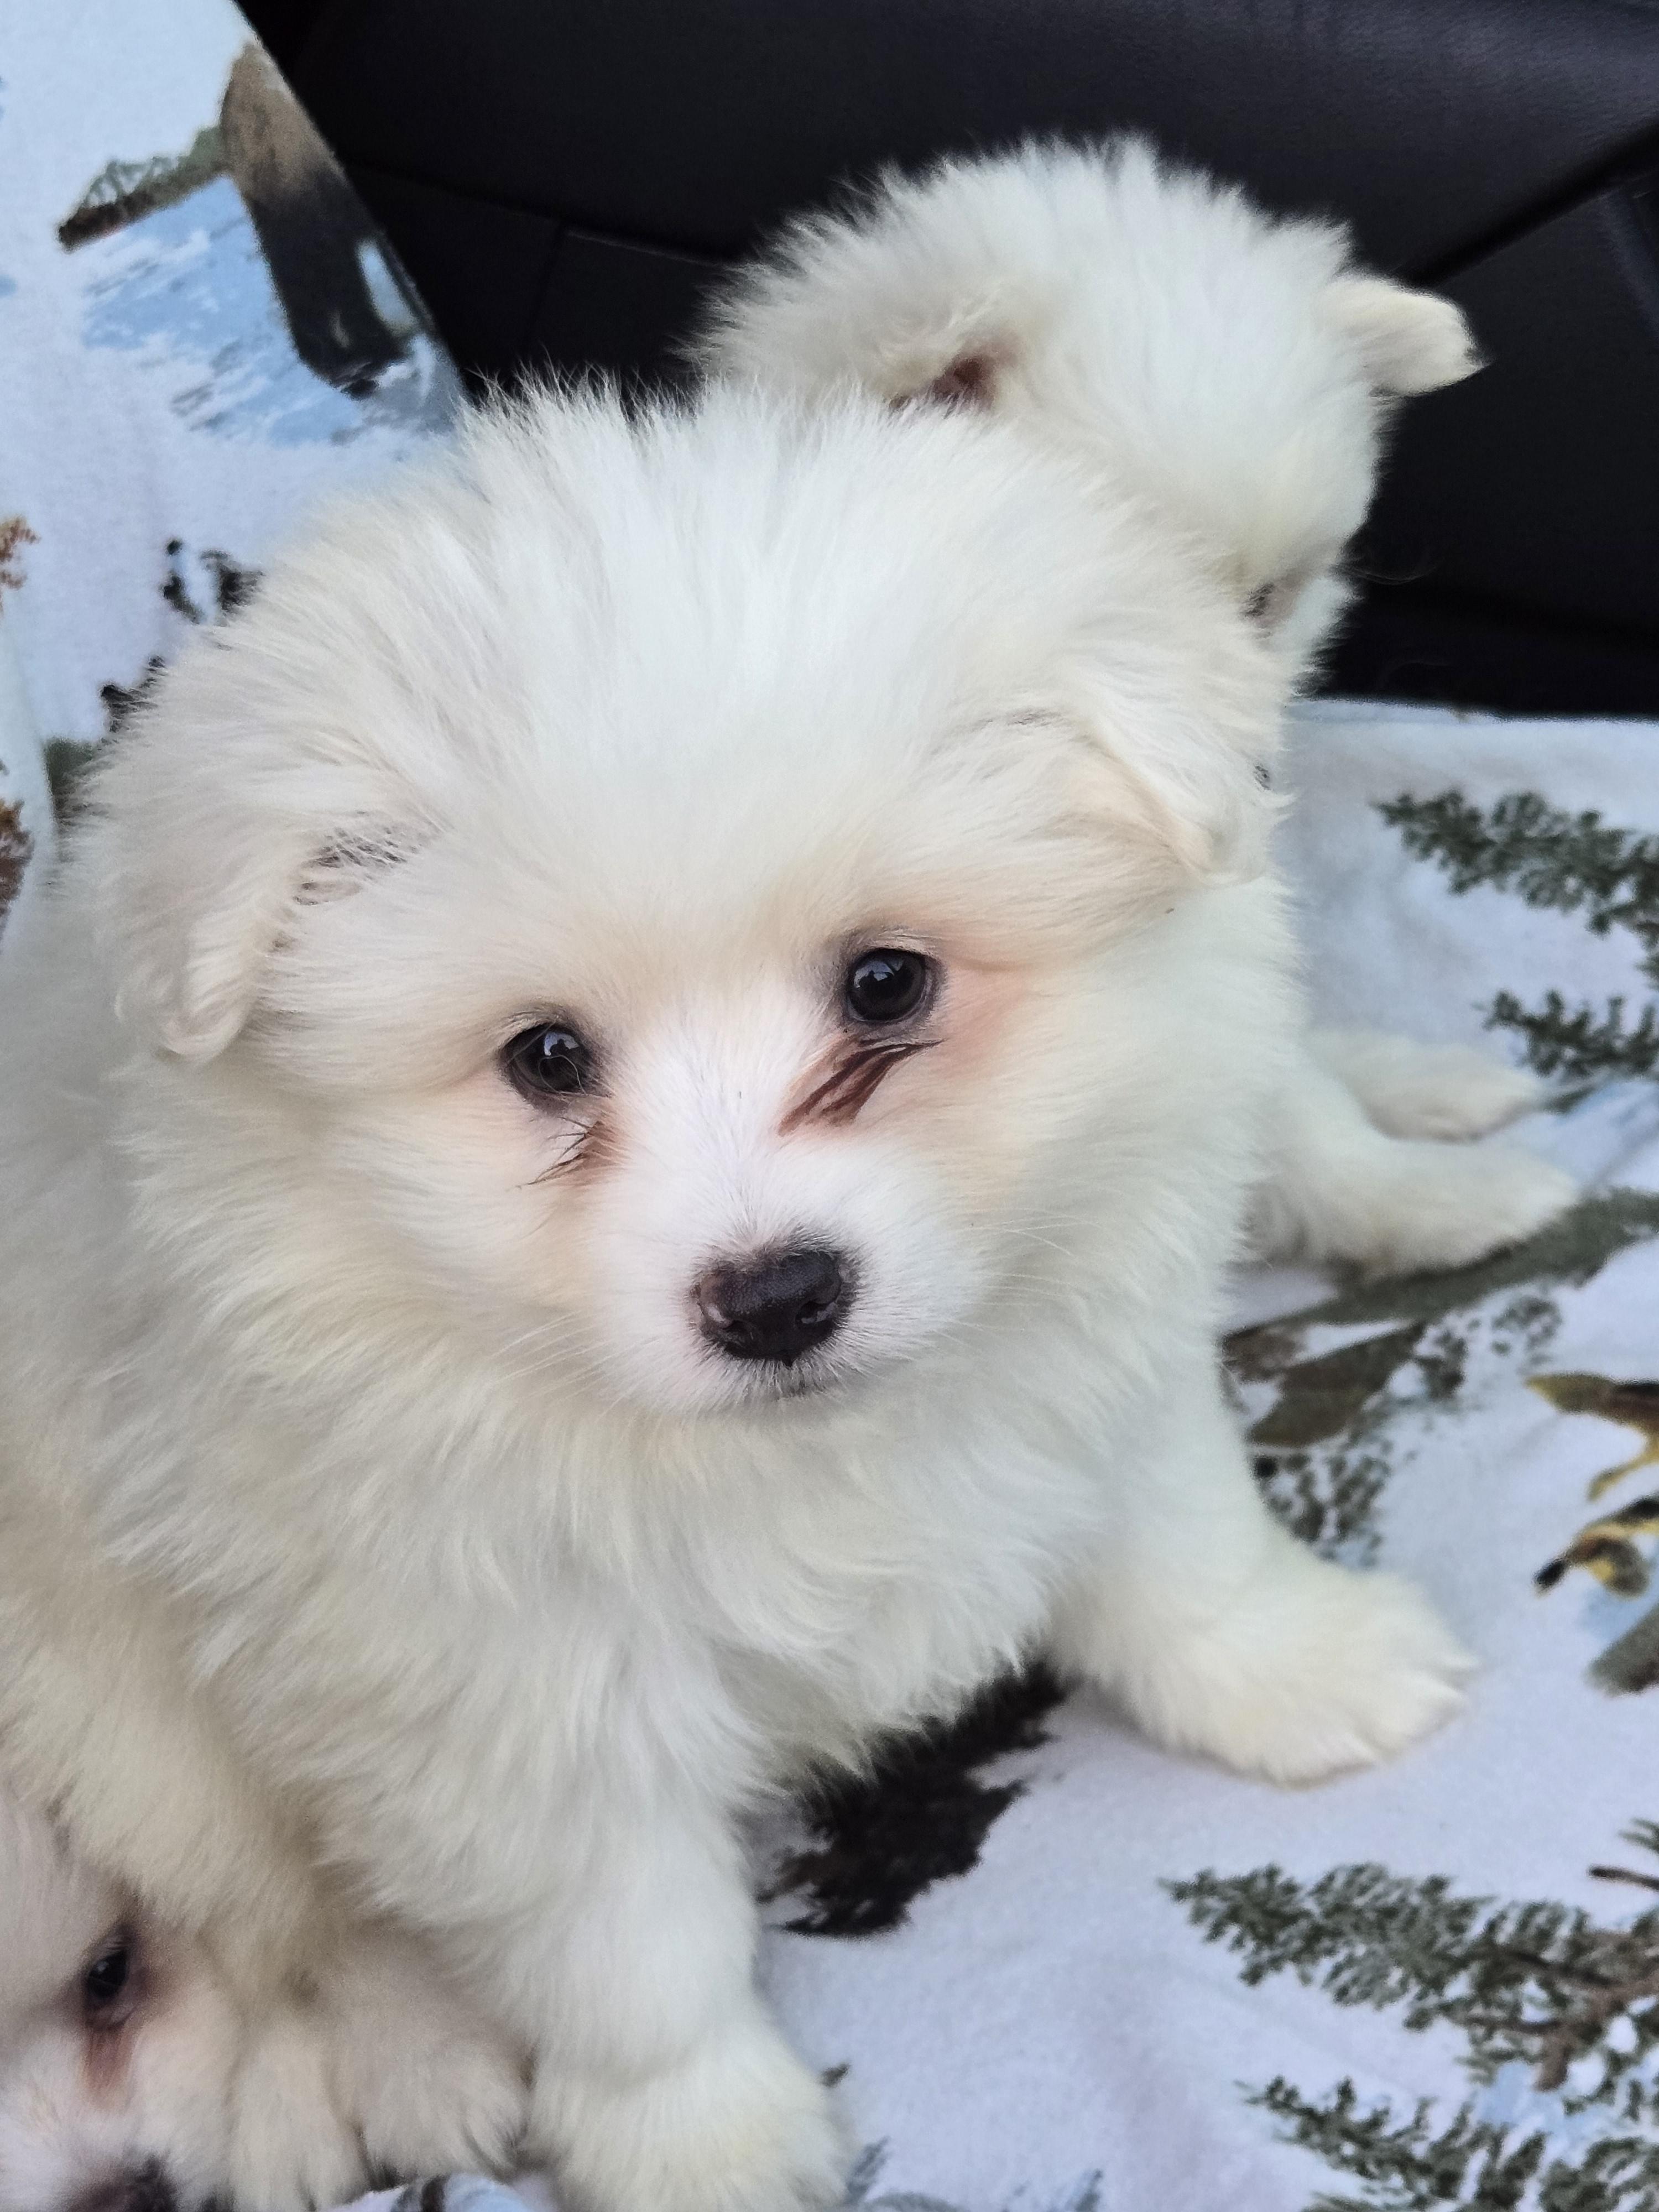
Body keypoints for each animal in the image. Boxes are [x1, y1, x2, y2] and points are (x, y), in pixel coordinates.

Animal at [0, 139, 1574, 2212]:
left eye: (887, 983)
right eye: (546, 1060)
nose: (776, 1298)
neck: (798, 1444)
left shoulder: (1092, 1320)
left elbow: (1185, 1530)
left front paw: (1292, 1659)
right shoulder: (486, 1661)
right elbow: (624, 1939)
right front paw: (703, 2143)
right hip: (129, 1715)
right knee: (270, 1920)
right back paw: (414, 2057)